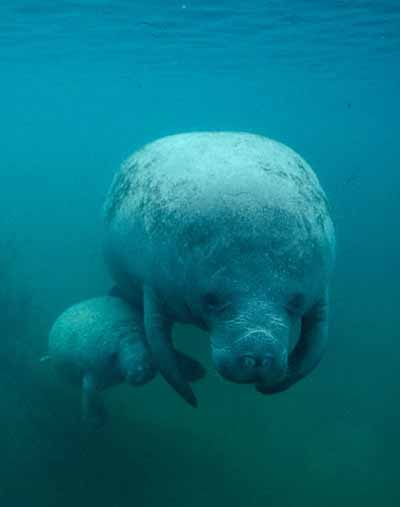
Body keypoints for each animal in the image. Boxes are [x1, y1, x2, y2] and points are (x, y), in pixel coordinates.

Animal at [48, 296, 203, 426]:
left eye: (145, 342)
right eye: (113, 355)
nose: (142, 370)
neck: (124, 332)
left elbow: (172, 356)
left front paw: (198, 371)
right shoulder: (90, 368)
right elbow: (89, 392)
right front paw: (96, 421)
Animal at [103, 133, 334, 406]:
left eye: (296, 301)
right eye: (211, 300)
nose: (257, 357)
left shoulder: (320, 287)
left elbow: (315, 345)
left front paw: (273, 386)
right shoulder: (153, 284)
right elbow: (161, 349)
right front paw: (190, 396)